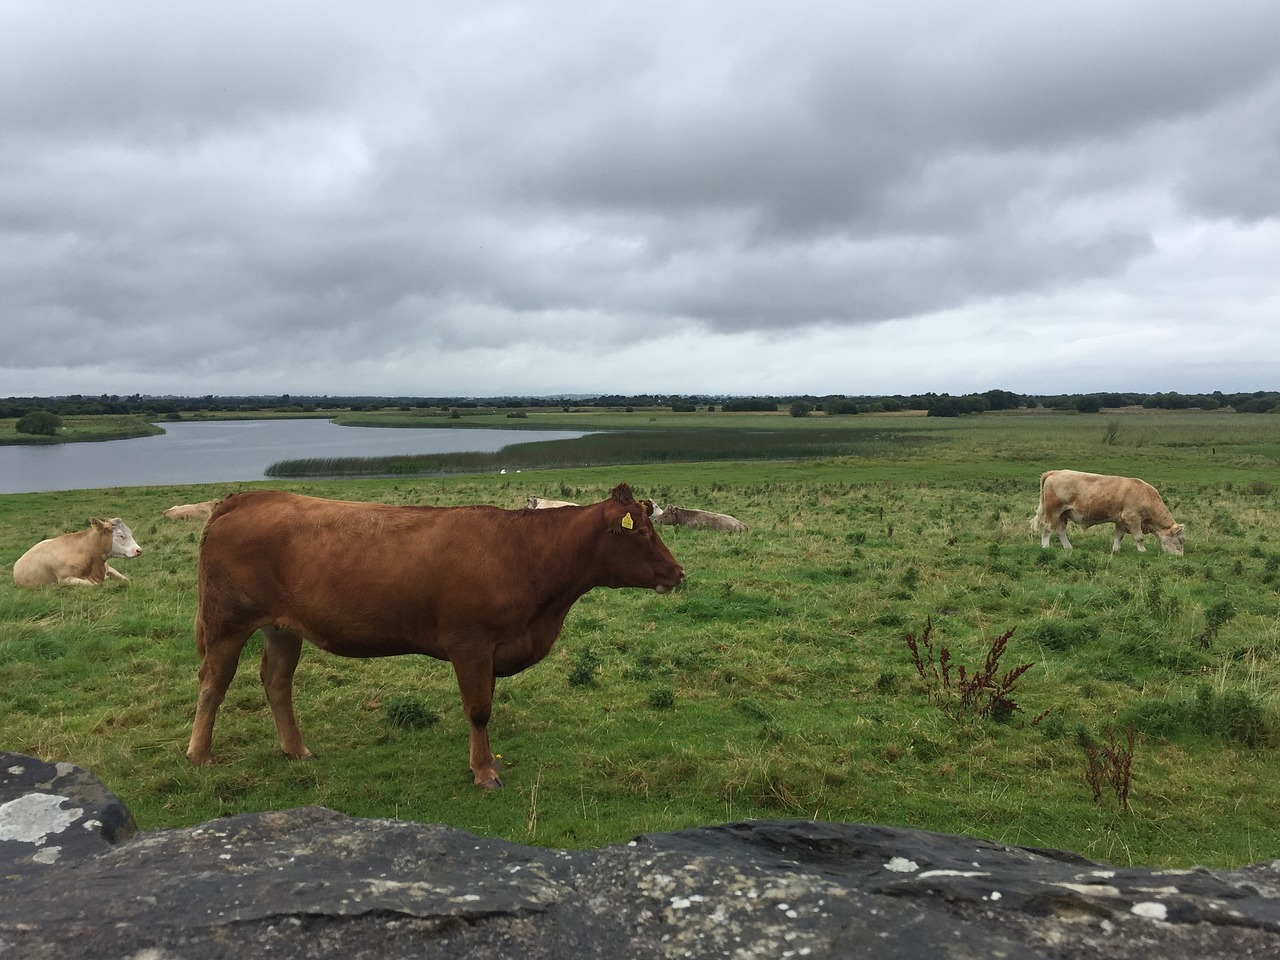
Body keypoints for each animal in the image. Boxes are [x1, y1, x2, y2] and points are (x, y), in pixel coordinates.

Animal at [11, 519, 144, 586]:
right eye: (121, 535)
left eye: (130, 532)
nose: (139, 550)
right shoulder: (65, 580)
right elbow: (92, 585)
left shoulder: (108, 569)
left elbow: (125, 579)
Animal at [186, 481, 686, 788]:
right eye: (641, 532)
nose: (678, 573)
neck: (525, 554)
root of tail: (245, 498)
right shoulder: (470, 644)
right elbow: (479, 710)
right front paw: (484, 772)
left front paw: (486, 763)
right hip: (226, 622)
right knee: (214, 682)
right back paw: (199, 756)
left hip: (282, 627)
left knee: (276, 681)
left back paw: (297, 750)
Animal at [1034, 468, 1182, 552]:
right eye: (1180, 540)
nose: (1180, 555)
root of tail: (1055, 472)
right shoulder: (1132, 518)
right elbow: (1139, 537)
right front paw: (1142, 550)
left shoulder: (1121, 520)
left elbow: (1118, 536)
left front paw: (1116, 550)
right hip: (1053, 511)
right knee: (1047, 528)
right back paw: (1045, 546)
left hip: (1063, 514)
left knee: (1060, 531)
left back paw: (1068, 547)